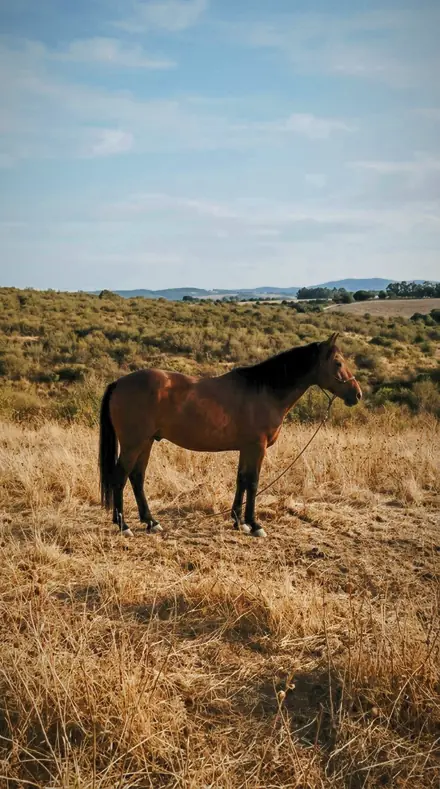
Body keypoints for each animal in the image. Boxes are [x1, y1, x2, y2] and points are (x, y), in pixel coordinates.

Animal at [99, 332, 362, 538]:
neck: (264, 391)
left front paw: (238, 521)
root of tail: (119, 383)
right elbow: (253, 482)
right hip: (133, 444)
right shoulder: (257, 447)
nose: (357, 394)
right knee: (120, 477)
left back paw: (151, 522)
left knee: (137, 477)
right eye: (338, 363)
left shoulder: (247, 448)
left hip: (146, 442)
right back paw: (124, 525)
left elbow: (241, 480)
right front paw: (255, 525)